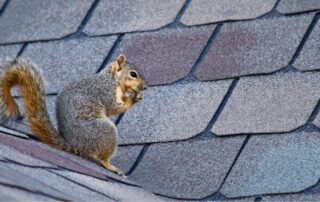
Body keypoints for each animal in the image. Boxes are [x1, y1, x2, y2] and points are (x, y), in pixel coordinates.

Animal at [0, 54, 148, 178]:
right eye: (133, 74)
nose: (145, 87)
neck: (111, 78)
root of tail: (75, 146)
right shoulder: (105, 91)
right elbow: (113, 107)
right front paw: (132, 98)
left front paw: (136, 96)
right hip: (104, 131)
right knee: (102, 158)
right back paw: (111, 167)